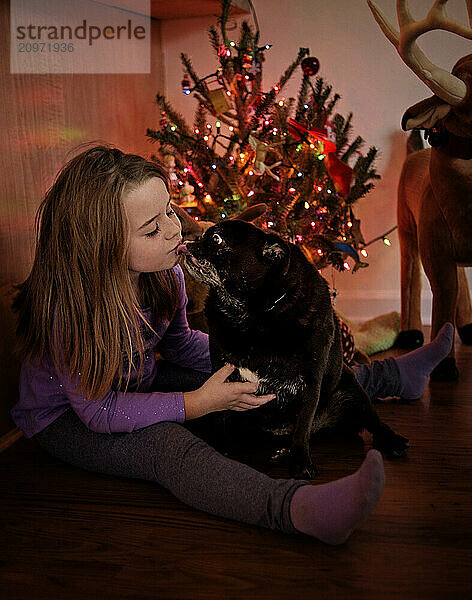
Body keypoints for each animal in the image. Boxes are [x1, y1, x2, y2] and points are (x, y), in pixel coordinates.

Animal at [183, 220, 408, 478]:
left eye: (216, 239)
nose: (188, 242)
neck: (252, 314)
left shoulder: (310, 383)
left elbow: (302, 427)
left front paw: (301, 462)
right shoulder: (221, 378)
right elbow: (220, 415)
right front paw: (219, 449)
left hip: (353, 390)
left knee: (371, 422)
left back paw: (393, 441)